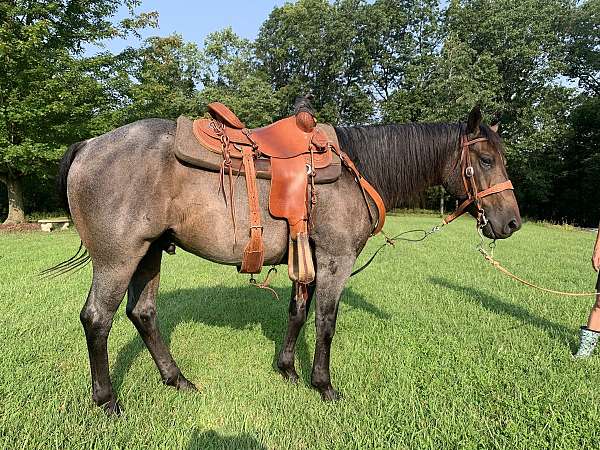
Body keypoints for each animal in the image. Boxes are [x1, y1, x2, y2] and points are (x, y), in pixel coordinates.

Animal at [54, 106, 516, 414]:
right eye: (486, 160)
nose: (511, 222)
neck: (355, 172)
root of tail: (88, 145)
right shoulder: (335, 260)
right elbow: (325, 322)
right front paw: (324, 385)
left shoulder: (306, 258)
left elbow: (297, 312)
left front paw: (288, 370)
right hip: (118, 258)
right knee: (97, 319)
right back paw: (107, 400)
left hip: (149, 253)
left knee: (143, 313)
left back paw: (177, 380)